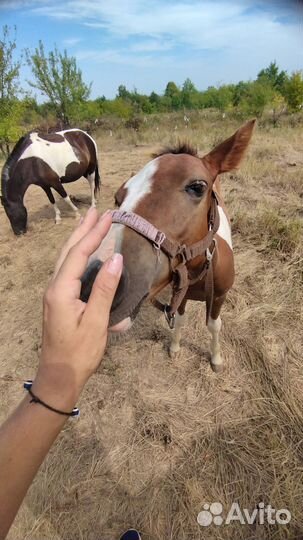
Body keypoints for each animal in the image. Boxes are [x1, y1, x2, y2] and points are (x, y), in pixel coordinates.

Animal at [81, 118, 256, 372]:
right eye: (118, 197)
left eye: (197, 187)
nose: (91, 281)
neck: (200, 271)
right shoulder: (180, 292)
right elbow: (179, 319)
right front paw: (174, 348)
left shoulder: (219, 297)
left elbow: (214, 325)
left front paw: (216, 359)